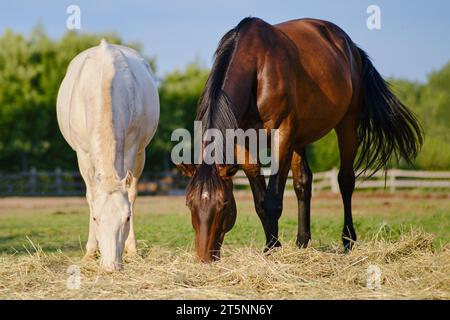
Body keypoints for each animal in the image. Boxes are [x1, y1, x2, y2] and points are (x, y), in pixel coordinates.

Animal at [57, 39, 160, 270]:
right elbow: (90, 195)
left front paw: (132, 250)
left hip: (141, 153)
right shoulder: (83, 154)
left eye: (127, 218)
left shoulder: (131, 148)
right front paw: (90, 252)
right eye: (96, 218)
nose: (111, 266)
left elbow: (130, 194)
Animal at [178, 17, 424, 262]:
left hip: (347, 124)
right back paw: (302, 241)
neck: (257, 66)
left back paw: (348, 240)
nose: (204, 259)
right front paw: (273, 245)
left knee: (346, 181)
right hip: (300, 138)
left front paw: (272, 249)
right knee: (303, 183)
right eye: (189, 204)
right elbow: (260, 200)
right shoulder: (244, 142)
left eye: (224, 204)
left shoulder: (283, 134)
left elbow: (272, 199)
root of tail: (351, 47)